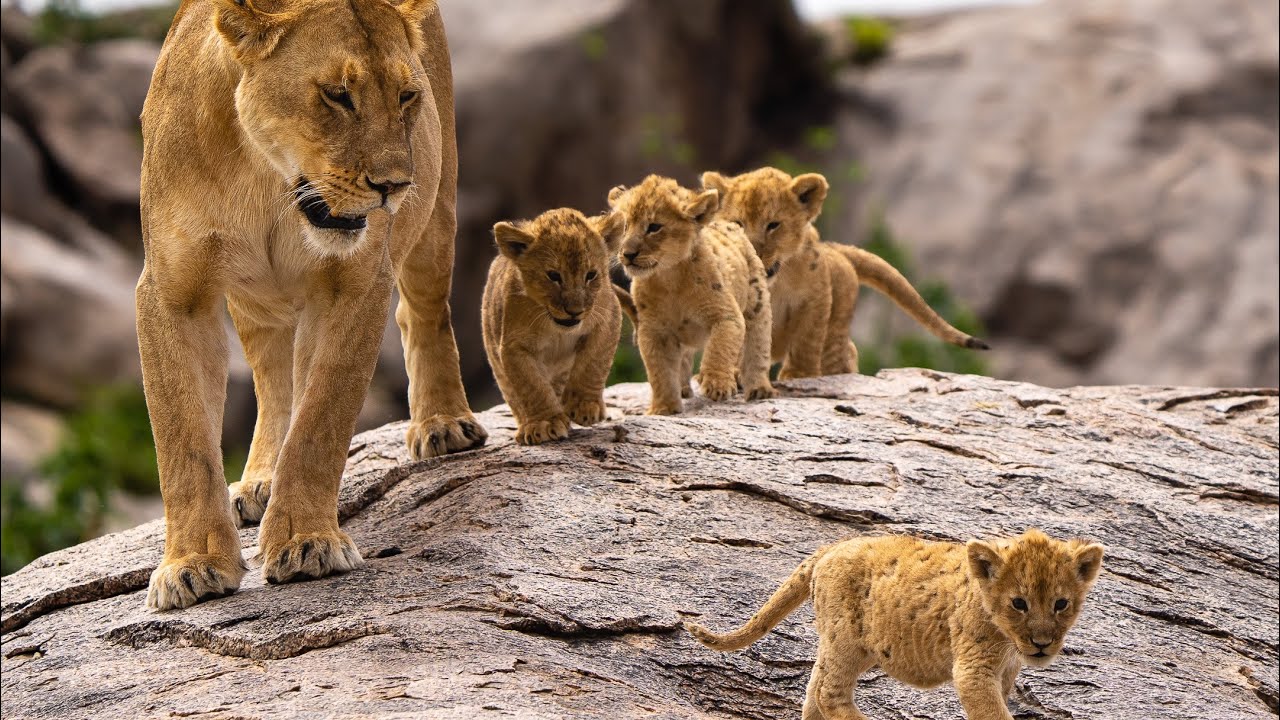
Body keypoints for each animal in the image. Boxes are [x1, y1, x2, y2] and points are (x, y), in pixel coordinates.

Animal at [137, 0, 486, 609]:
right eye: (337, 95)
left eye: (406, 96)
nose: (394, 186)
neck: (265, 178)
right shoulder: (171, 294)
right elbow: (183, 441)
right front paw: (192, 566)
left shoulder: (355, 285)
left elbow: (322, 418)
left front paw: (306, 543)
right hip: (258, 302)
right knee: (274, 378)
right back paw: (259, 481)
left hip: (437, 211)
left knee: (422, 310)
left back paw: (444, 423)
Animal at [483, 208, 624, 445]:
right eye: (554, 276)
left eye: (591, 275)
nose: (575, 311)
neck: (556, 328)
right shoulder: (514, 346)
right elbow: (532, 385)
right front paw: (545, 423)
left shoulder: (609, 317)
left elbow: (593, 363)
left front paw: (583, 406)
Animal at [606, 176, 775, 415]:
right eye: (625, 227)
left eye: (654, 227)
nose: (628, 254)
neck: (669, 279)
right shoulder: (653, 331)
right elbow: (660, 371)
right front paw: (664, 408)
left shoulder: (726, 316)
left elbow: (720, 347)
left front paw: (717, 385)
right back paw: (684, 388)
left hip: (756, 303)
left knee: (756, 345)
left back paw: (758, 389)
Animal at [686, 529, 1105, 720]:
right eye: (1019, 603)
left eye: (1061, 604)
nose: (1042, 644)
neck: (1007, 640)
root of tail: (829, 548)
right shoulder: (973, 668)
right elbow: (993, 712)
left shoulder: (1004, 671)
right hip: (847, 640)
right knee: (829, 692)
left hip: (838, 642)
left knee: (814, 688)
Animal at [701, 167, 987, 379]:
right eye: (738, 223)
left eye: (773, 225)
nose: (752, 253)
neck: (777, 281)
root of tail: (836, 250)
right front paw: (733, 373)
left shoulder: (817, 298)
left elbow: (806, 339)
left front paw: (798, 374)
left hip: (835, 334)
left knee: (842, 355)